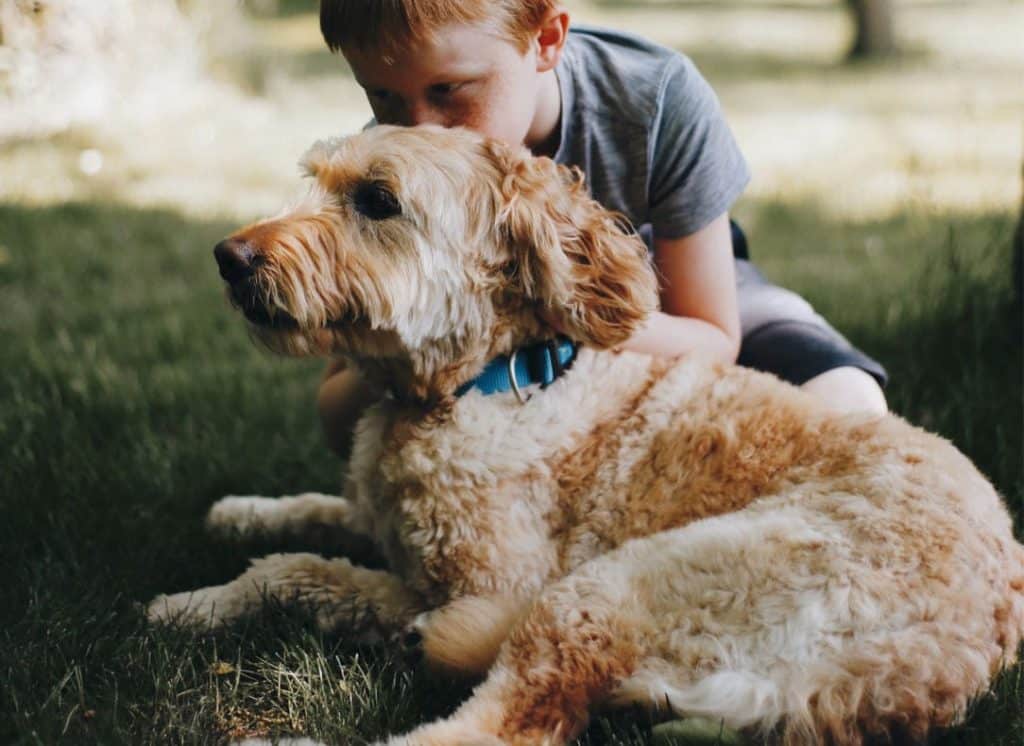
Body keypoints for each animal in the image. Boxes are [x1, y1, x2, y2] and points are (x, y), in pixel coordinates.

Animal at [149, 125, 1024, 740]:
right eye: (320, 182)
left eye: (377, 201)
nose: (228, 256)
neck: (491, 379)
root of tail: (933, 667)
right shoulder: (382, 521)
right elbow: (307, 523)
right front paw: (237, 520)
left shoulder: (485, 585)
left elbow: (304, 571)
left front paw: (193, 601)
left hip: (611, 589)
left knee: (505, 726)